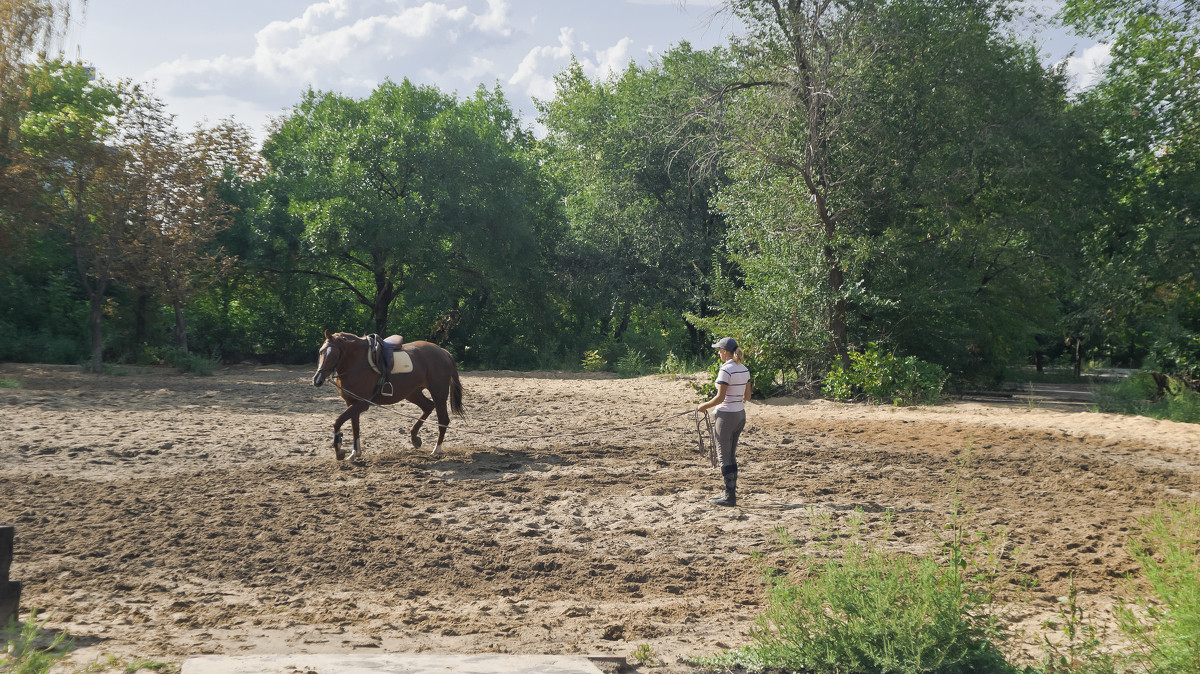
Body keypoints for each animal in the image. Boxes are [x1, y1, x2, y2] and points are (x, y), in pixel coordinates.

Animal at [309, 331, 463, 460]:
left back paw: (436, 450)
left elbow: (338, 422)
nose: (317, 380)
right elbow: (355, 427)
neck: (357, 362)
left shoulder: (361, 404)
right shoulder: (352, 403)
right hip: (412, 393)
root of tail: (443, 352)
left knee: (443, 419)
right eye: (321, 352)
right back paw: (415, 438)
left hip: (438, 393)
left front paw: (339, 451)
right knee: (428, 407)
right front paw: (354, 453)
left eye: (334, 355)